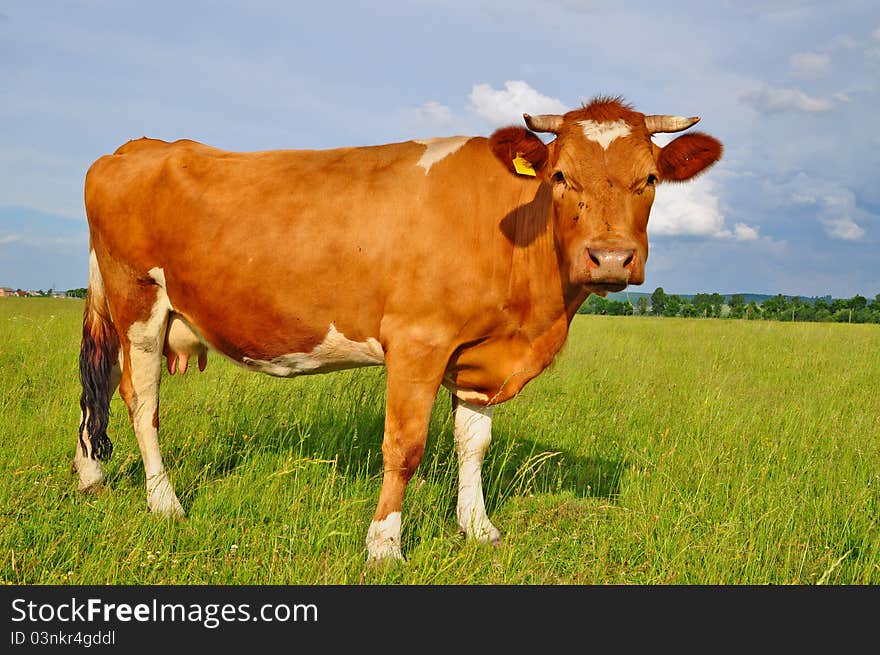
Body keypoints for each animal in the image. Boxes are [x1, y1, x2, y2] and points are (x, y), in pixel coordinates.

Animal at [75, 97, 720, 564]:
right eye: (560, 175)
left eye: (650, 179)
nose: (610, 258)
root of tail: (134, 147)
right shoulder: (418, 341)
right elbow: (405, 446)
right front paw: (384, 545)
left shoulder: (478, 358)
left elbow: (473, 443)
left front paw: (478, 529)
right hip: (138, 301)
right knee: (141, 399)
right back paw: (166, 504)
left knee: (99, 385)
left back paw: (90, 477)